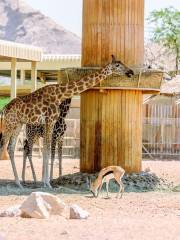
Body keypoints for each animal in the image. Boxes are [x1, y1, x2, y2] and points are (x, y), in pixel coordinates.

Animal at [0, 55, 134, 188]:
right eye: (117, 65)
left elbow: (47, 150)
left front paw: (46, 182)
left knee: (11, 148)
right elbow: (48, 150)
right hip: (10, 125)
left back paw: (19, 183)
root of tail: (4, 108)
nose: (130, 72)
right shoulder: (50, 120)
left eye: (122, 63)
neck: (59, 94)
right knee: (4, 146)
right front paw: (47, 183)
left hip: (18, 125)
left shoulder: (50, 124)